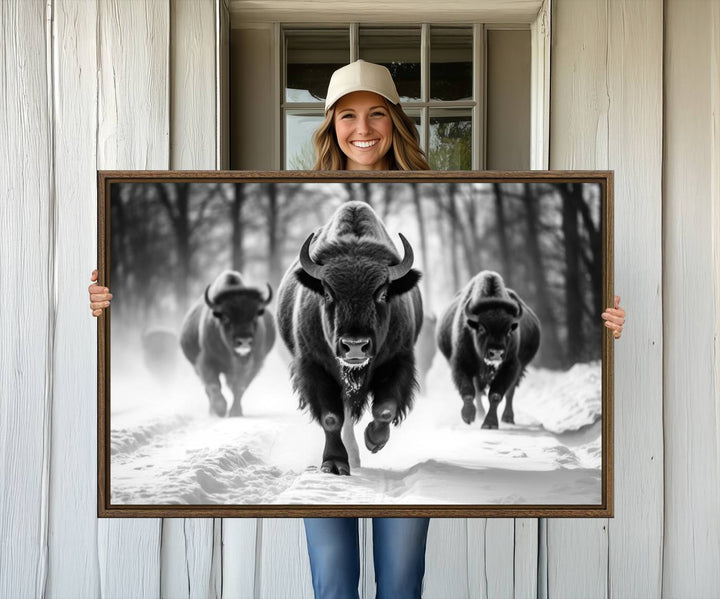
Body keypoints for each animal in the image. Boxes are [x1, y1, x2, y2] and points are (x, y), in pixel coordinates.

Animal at [180, 270, 276, 418]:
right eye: (225, 317)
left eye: (255, 316)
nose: (244, 341)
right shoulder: (206, 361)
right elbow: (214, 385)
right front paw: (220, 409)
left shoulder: (252, 364)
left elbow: (239, 387)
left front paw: (235, 412)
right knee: (208, 388)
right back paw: (212, 411)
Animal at [276, 204, 422, 476]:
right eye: (326, 292)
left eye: (383, 293)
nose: (355, 346)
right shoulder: (315, 367)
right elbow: (331, 418)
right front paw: (334, 463)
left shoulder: (398, 360)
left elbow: (385, 409)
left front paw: (374, 440)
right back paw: (351, 457)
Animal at [436, 272, 544, 432]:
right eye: (481, 328)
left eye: (509, 330)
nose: (496, 353)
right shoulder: (461, 363)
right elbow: (468, 391)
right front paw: (468, 416)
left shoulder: (510, 366)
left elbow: (496, 395)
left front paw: (490, 423)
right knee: (478, 391)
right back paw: (480, 413)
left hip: (520, 369)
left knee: (510, 392)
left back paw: (507, 417)